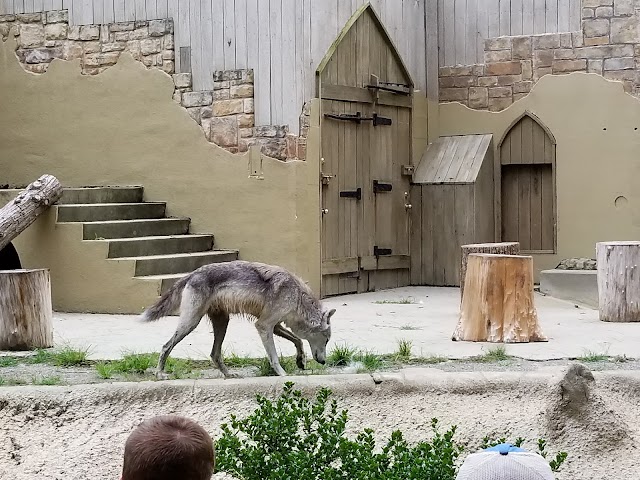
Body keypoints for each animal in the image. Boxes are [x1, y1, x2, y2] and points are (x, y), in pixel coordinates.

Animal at [140, 260, 336, 376]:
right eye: (326, 340)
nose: (324, 362)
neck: (297, 297)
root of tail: (192, 274)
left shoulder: (275, 326)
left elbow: (298, 341)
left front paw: (300, 361)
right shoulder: (263, 325)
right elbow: (274, 356)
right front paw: (282, 374)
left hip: (222, 324)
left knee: (214, 354)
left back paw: (229, 375)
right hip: (190, 323)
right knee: (166, 346)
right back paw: (159, 374)